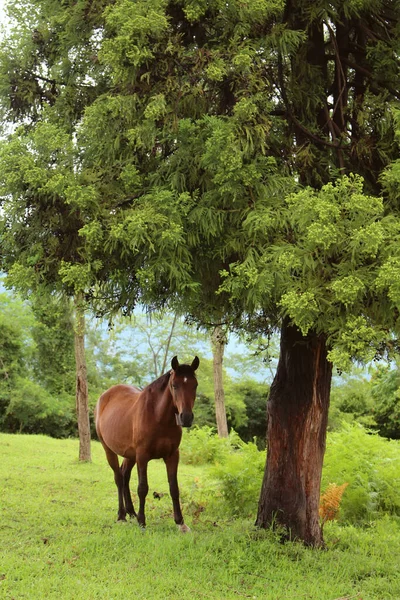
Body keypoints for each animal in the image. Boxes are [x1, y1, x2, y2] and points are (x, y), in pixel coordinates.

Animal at [94, 354, 200, 532]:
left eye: (195, 385)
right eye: (174, 385)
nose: (186, 417)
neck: (158, 416)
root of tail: (104, 396)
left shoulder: (172, 456)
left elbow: (174, 488)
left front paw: (180, 522)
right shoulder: (142, 456)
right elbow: (143, 488)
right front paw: (142, 522)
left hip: (130, 455)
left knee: (124, 475)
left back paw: (131, 512)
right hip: (109, 450)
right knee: (118, 478)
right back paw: (122, 515)